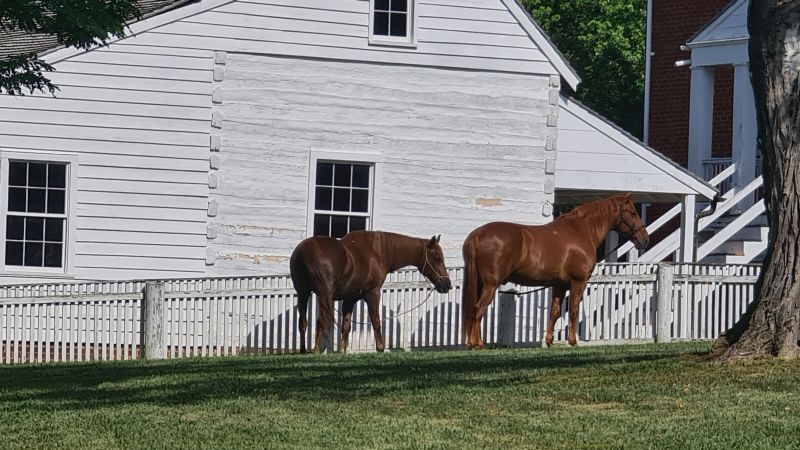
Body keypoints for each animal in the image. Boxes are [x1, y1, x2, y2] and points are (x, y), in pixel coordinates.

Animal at [290, 230, 454, 354]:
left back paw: (304, 350)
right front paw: (381, 348)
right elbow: (376, 320)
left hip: (303, 293)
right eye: (437, 258)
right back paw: (317, 350)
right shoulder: (373, 293)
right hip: (324, 294)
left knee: (303, 321)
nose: (447, 285)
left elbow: (346, 325)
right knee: (321, 321)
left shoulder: (350, 299)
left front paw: (342, 350)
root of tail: (304, 251)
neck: (377, 252)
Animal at [462, 192, 648, 348]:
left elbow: (555, 312)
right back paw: (476, 344)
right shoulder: (578, 282)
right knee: (478, 309)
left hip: (481, 283)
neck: (582, 231)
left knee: (475, 309)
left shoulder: (560, 285)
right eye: (633, 212)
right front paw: (573, 342)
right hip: (490, 285)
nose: (645, 239)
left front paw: (549, 341)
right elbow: (573, 311)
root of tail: (477, 234)